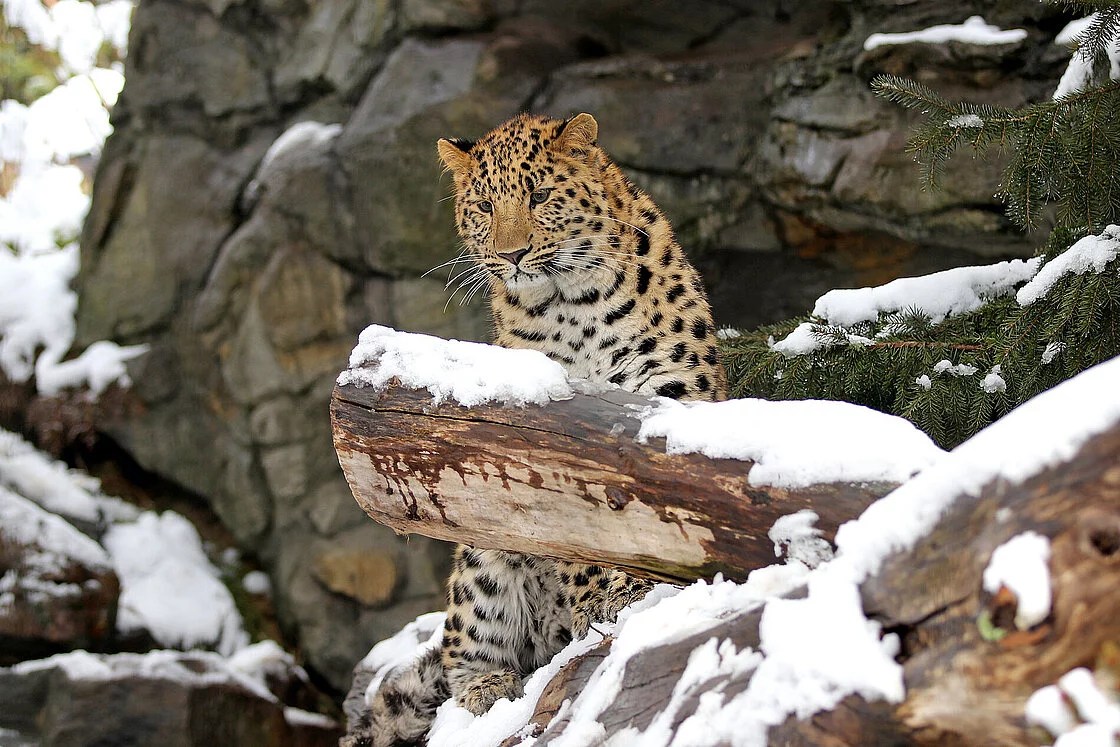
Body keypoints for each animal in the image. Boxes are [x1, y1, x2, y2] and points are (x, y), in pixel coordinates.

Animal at [349, 112, 727, 747]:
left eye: (541, 197)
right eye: (484, 206)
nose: (513, 254)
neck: (574, 304)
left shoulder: (671, 389)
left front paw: (632, 587)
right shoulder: (533, 436)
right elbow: (571, 531)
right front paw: (601, 598)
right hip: (479, 555)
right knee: (459, 658)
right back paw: (490, 687)